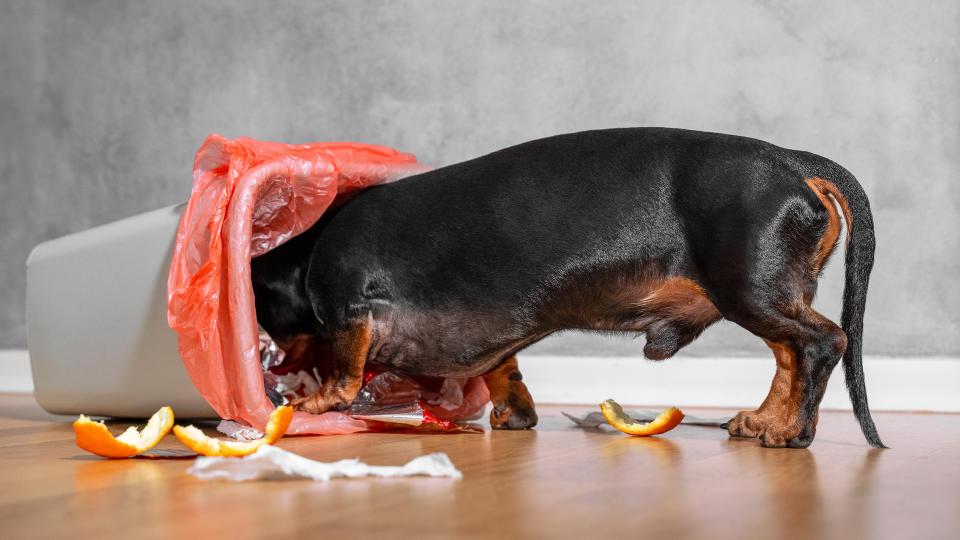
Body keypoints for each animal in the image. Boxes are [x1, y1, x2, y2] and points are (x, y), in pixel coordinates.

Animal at [249, 129, 884, 450]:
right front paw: (514, 415)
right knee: (789, 357)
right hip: (763, 295)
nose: (267, 362)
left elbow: (343, 376)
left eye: (260, 303)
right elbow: (505, 372)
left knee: (823, 344)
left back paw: (792, 432)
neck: (310, 251)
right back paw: (764, 422)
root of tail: (793, 162)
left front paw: (308, 405)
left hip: (750, 294)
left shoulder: (348, 309)